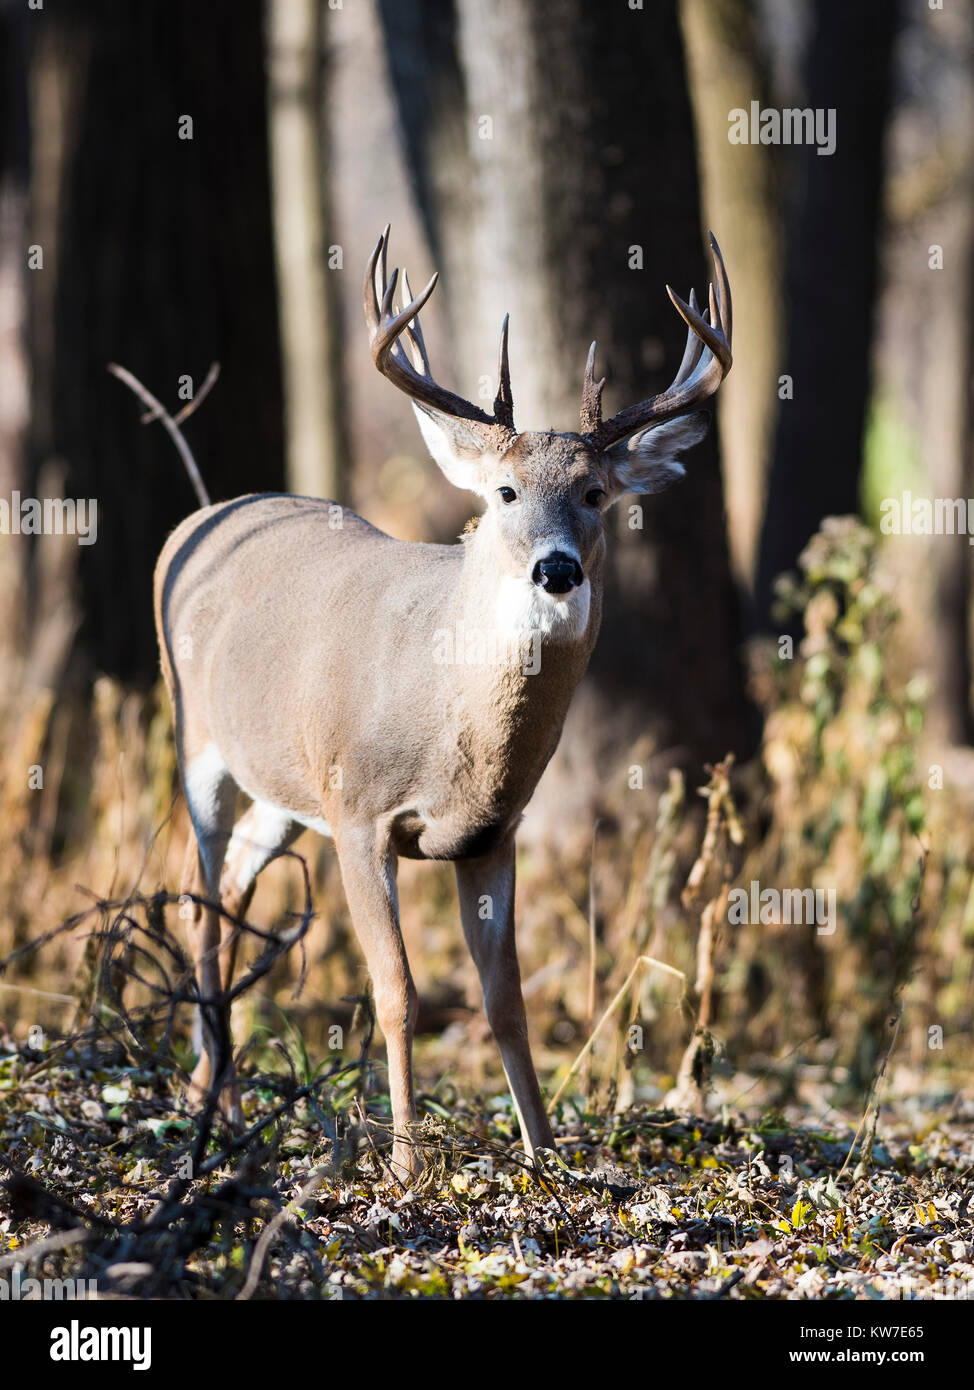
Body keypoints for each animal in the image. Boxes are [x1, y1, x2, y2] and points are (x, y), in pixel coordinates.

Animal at [151, 226, 732, 1184]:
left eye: (596, 493)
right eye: (504, 492)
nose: (557, 568)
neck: (455, 730)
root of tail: (196, 521)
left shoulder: (495, 833)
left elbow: (508, 1002)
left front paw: (546, 1155)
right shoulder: (359, 811)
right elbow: (396, 991)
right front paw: (405, 1160)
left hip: (283, 790)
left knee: (229, 890)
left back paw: (213, 1092)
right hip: (200, 744)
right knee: (198, 902)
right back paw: (215, 1108)